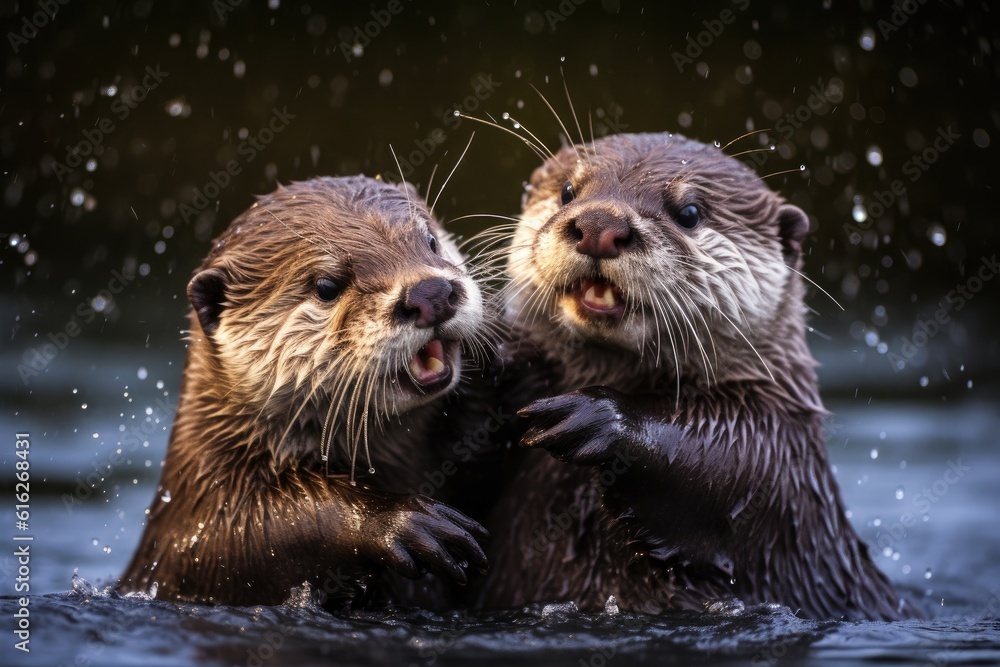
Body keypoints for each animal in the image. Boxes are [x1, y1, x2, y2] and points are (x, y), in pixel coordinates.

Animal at [119, 176, 496, 607]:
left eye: (430, 241)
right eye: (327, 286)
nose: (430, 293)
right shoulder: (200, 526)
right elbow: (253, 536)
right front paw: (400, 520)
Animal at [475, 133, 920, 620]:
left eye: (688, 212)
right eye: (568, 192)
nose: (598, 224)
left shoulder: (775, 453)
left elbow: (722, 462)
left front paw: (597, 417)